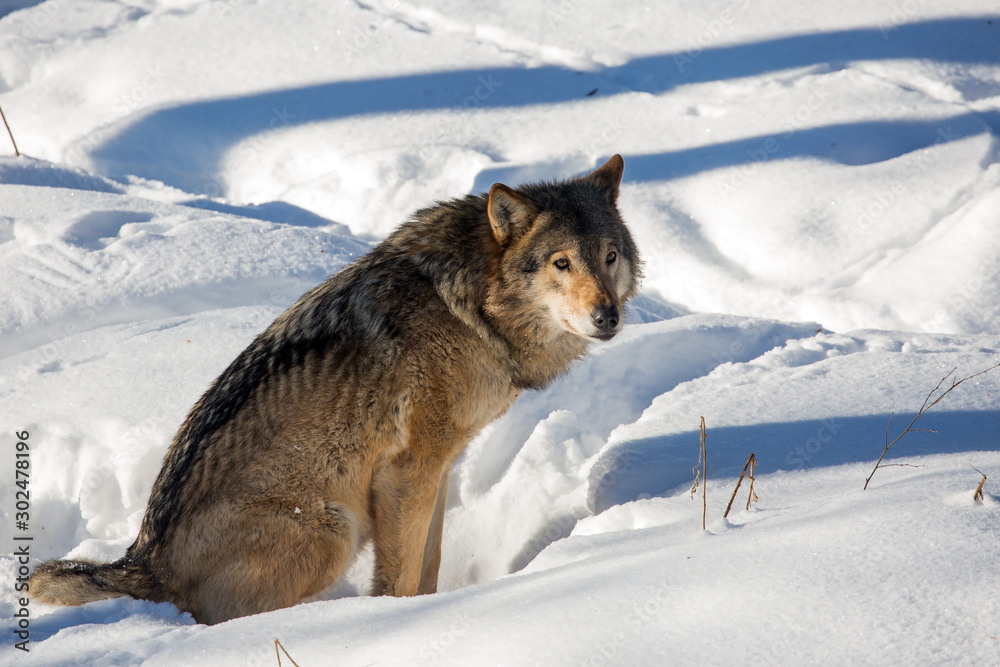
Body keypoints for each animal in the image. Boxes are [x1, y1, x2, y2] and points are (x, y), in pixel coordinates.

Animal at [30, 155, 641, 624]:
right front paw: (397, 619)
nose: (608, 316)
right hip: (332, 529)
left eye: (609, 257)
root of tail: (145, 563)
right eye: (562, 262)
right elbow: (400, 575)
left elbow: (430, 561)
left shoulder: (440, 467)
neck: (471, 305)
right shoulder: (409, 469)